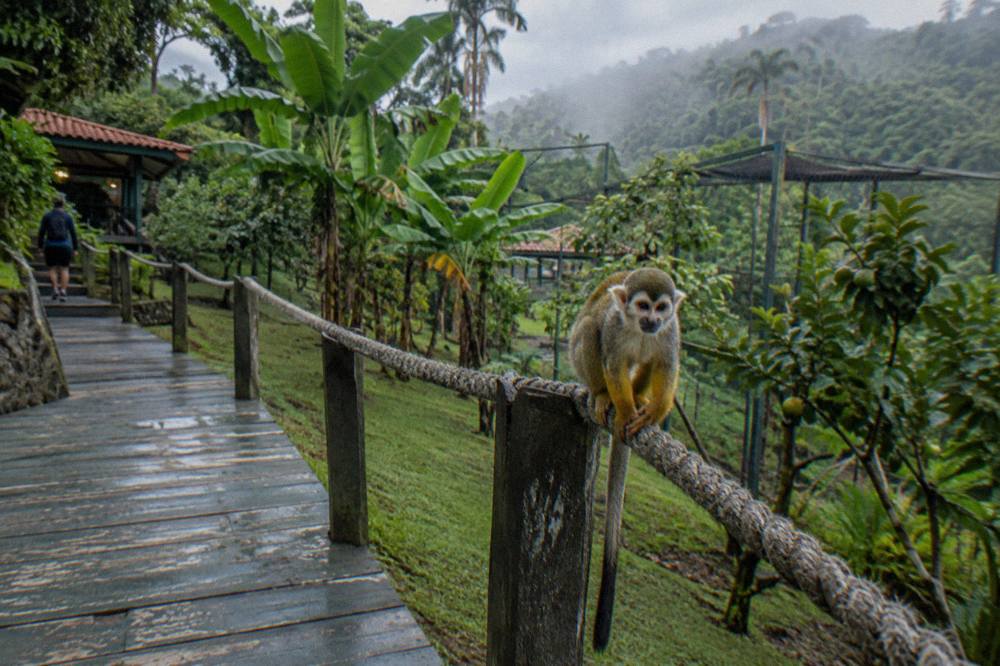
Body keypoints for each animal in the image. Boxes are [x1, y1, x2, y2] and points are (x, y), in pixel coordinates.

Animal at [568, 267, 684, 651]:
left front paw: (653, 412)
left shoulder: (672, 332)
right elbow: (612, 361)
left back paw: (639, 398)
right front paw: (621, 409)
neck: (636, 328)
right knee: (589, 328)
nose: (653, 320)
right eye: (643, 306)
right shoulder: (615, 327)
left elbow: (666, 365)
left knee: (647, 362)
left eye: (662, 308)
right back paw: (605, 396)